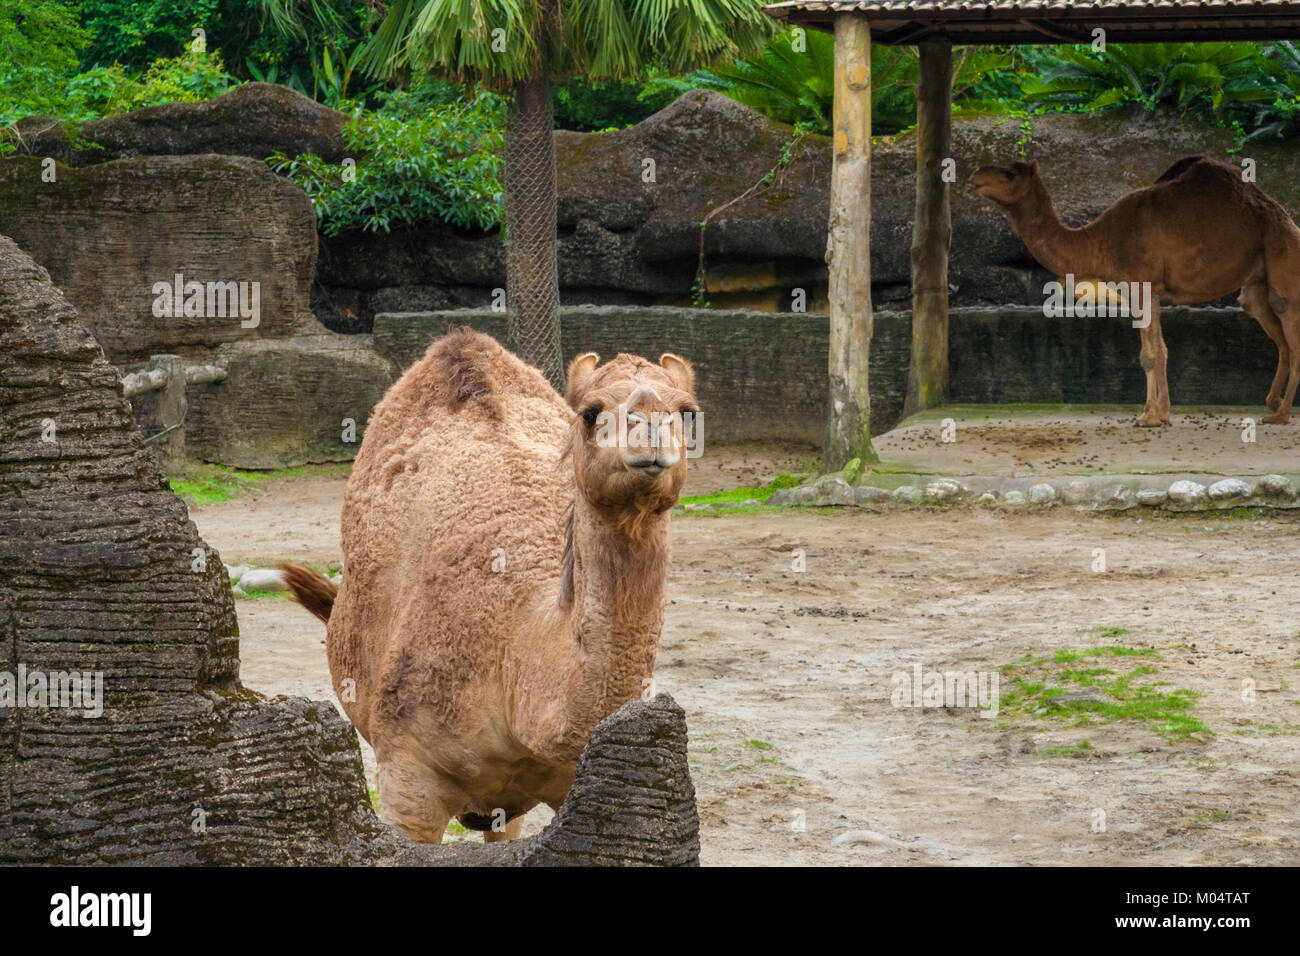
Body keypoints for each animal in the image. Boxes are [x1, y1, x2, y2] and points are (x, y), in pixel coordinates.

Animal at [970, 155, 1300, 426]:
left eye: (1010, 174)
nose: (975, 176)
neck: (1099, 241)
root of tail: (1288, 219)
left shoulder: (1143, 284)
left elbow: (1152, 353)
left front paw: (1150, 417)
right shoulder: (1138, 290)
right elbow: (1155, 351)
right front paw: (1158, 413)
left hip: (1282, 252)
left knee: (1288, 319)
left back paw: (1281, 414)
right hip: (1256, 284)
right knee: (1271, 325)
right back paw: (1273, 403)